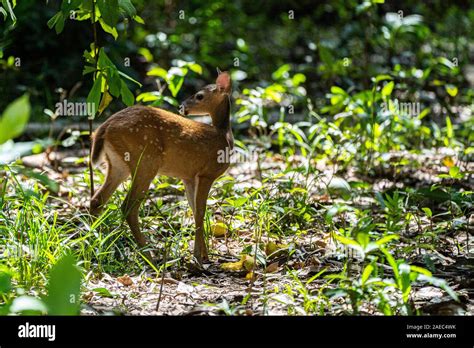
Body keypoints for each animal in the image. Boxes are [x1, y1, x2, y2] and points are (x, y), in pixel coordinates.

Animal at [89, 70, 233, 264]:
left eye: (199, 96)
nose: (181, 107)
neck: (223, 136)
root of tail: (104, 127)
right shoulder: (207, 173)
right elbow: (201, 212)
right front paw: (199, 257)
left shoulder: (189, 176)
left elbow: (194, 210)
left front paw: (204, 254)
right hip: (146, 162)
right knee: (128, 206)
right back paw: (148, 255)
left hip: (118, 165)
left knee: (97, 200)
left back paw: (95, 247)